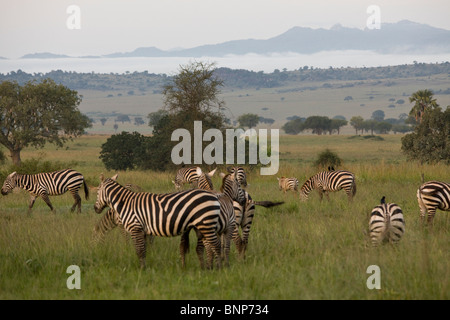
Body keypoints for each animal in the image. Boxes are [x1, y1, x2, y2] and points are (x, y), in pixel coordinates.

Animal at [93, 174, 223, 268]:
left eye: (98, 191)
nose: (95, 208)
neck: (124, 203)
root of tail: (214, 196)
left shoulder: (135, 228)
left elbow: (139, 250)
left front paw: (142, 269)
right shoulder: (143, 231)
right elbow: (144, 250)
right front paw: (145, 266)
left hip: (206, 224)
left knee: (216, 245)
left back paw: (219, 268)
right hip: (202, 226)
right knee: (208, 246)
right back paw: (207, 267)